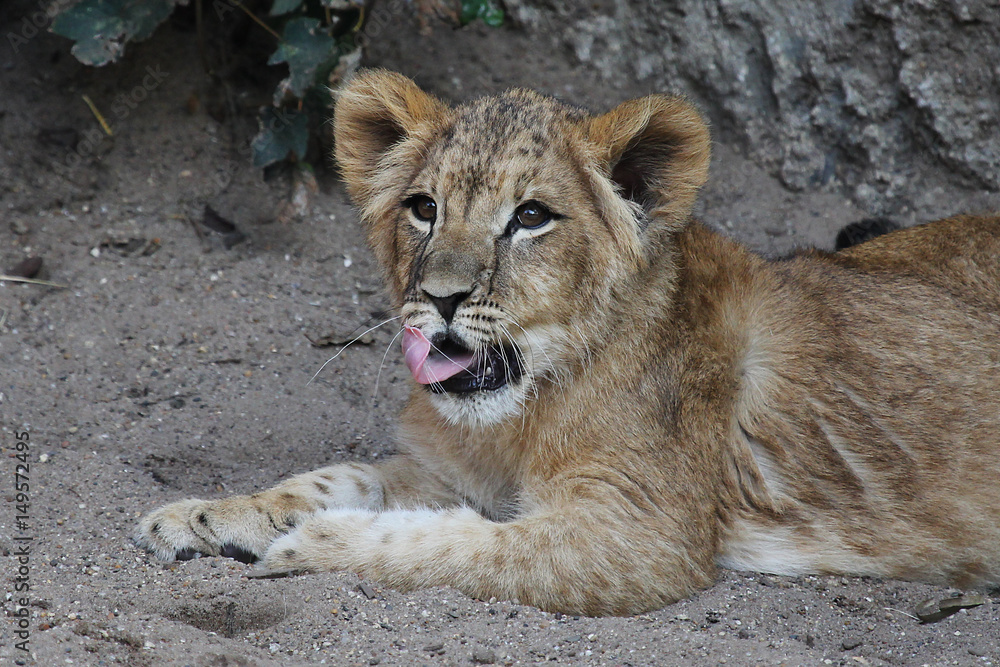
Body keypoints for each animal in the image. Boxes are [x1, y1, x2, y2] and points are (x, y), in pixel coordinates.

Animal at [135, 70, 1000, 616]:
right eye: (423, 207)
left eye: (530, 217)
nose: (440, 299)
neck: (518, 417)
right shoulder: (443, 466)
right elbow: (330, 477)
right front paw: (203, 517)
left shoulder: (639, 533)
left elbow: (458, 550)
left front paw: (312, 543)